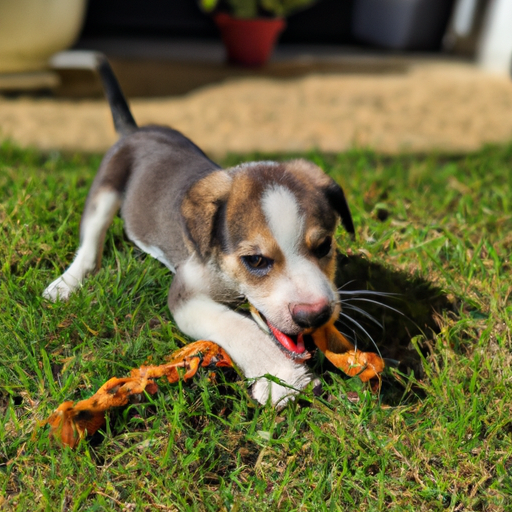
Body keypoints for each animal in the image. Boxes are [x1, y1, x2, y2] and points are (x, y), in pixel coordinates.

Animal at [44, 55, 354, 408]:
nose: (315, 316)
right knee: (90, 242)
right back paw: (67, 282)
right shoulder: (185, 296)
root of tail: (135, 131)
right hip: (106, 188)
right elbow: (237, 326)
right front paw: (283, 379)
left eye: (325, 246)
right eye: (256, 261)